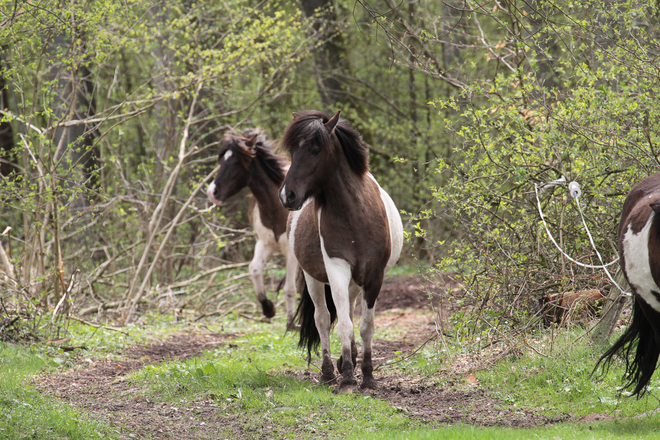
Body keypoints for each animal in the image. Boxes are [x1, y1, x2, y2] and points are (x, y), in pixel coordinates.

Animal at [208, 127, 298, 326]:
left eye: (235, 162)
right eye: (221, 160)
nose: (212, 192)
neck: (276, 208)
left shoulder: (290, 252)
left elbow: (289, 288)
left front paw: (291, 323)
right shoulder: (265, 244)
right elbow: (254, 269)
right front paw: (268, 308)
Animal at [278, 110, 402, 392]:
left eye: (315, 150)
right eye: (292, 150)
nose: (287, 195)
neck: (355, 215)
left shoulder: (374, 276)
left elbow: (366, 326)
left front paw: (367, 375)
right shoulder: (337, 270)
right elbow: (343, 324)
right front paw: (347, 377)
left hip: (356, 282)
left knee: (351, 313)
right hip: (313, 278)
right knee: (323, 319)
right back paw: (328, 372)